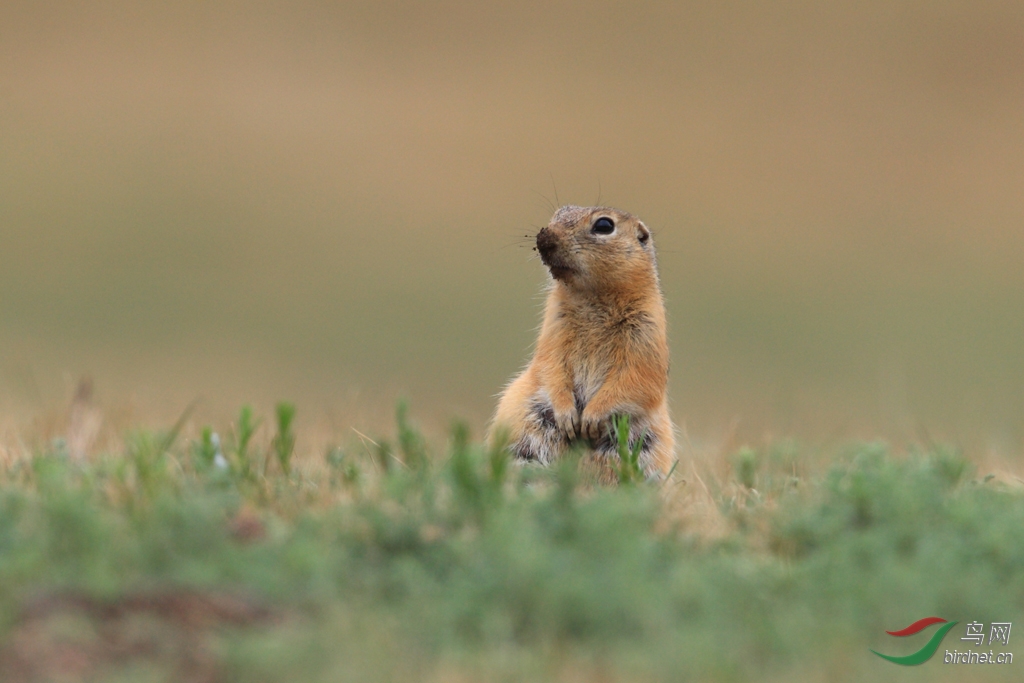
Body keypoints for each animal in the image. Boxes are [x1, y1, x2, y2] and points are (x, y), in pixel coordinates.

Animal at [491, 205, 675, 479]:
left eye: (604, 226)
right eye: (557, 213)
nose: (543, 237)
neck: (593, 297)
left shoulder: (647, 333)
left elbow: (637, 379)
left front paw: (591, 419)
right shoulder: (553, 330)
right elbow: (550, 367)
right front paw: (567, 416)